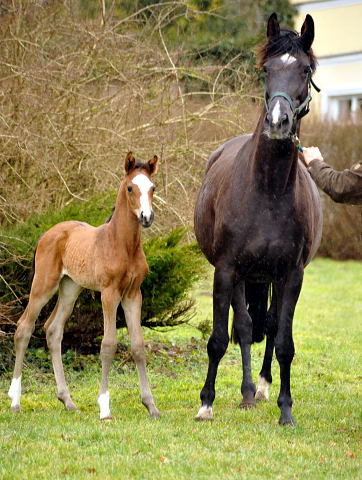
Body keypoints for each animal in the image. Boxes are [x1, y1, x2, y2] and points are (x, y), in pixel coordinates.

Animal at [8, 152, 160, 418]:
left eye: (153, 187)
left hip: (70, 289)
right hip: (44, 285)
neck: (124, 244)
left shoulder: (133, 294)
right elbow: (108, 345)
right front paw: (105, 407)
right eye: (130, 187)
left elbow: (138, 346)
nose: (146, 217)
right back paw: (15, 401)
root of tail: (47, 233)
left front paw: (151, 405)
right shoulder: (109, 293)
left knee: (53, 330)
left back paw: (67, 400)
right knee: (24, 327)